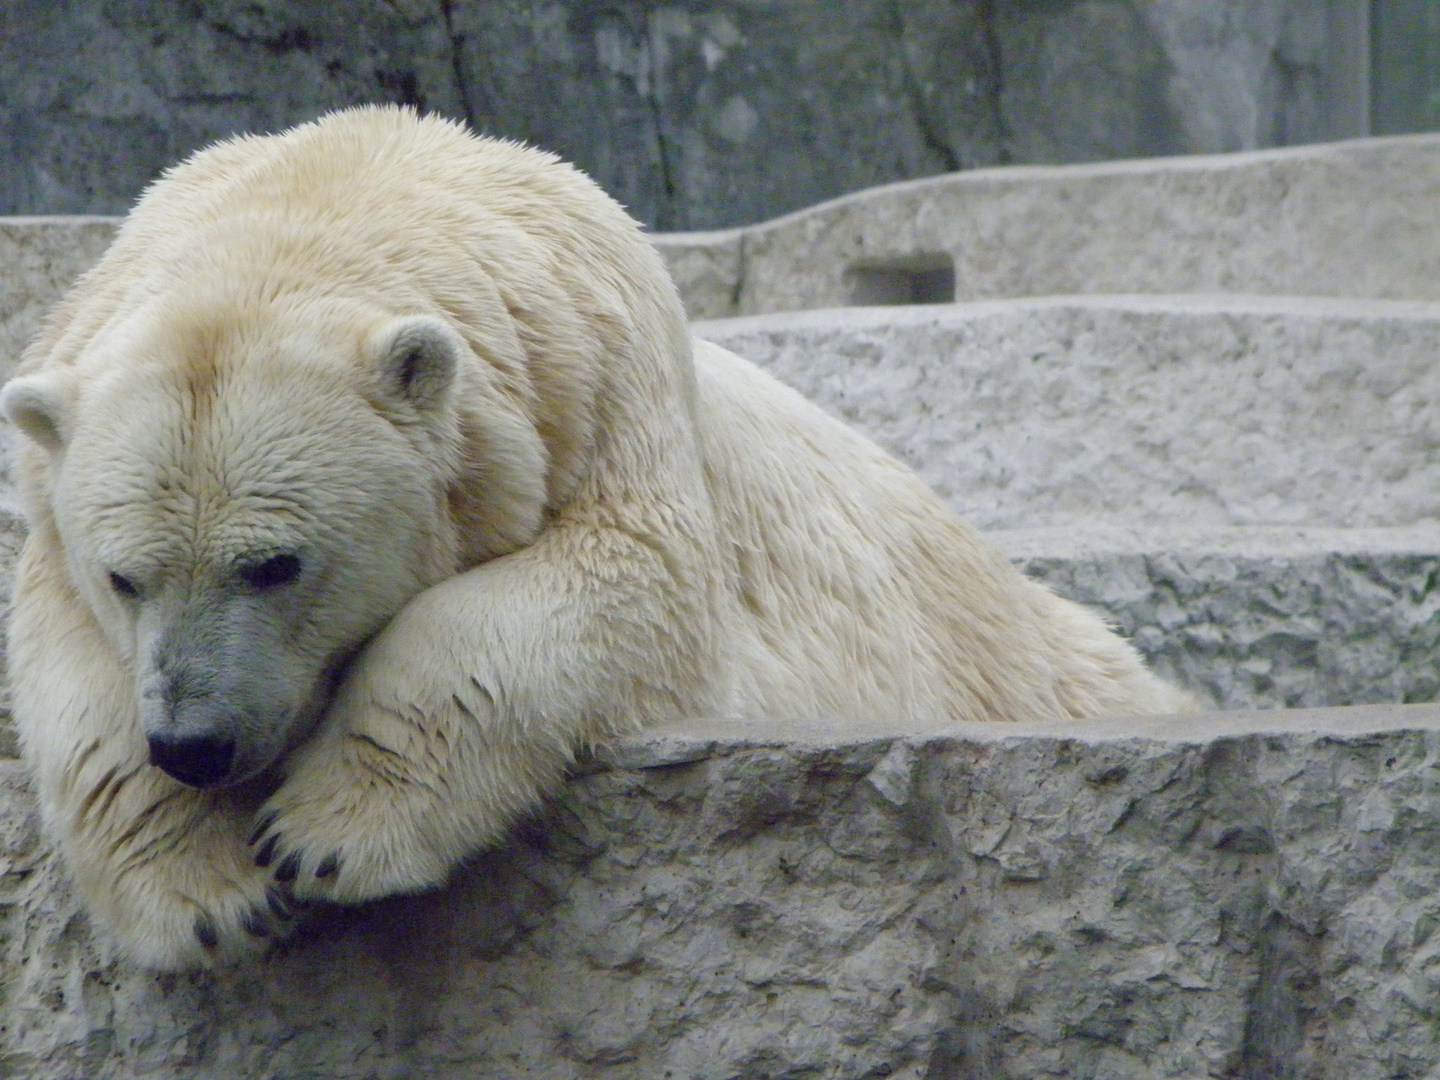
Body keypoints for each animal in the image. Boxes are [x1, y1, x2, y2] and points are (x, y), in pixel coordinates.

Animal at [2, 108, 1192, 973]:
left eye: (276, 564)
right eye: (125, 577)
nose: (194, 744)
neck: (338, 187)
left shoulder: (601, 384)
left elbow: (623, 584)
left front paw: (324, 832)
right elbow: (68, 677)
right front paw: (211, 896)